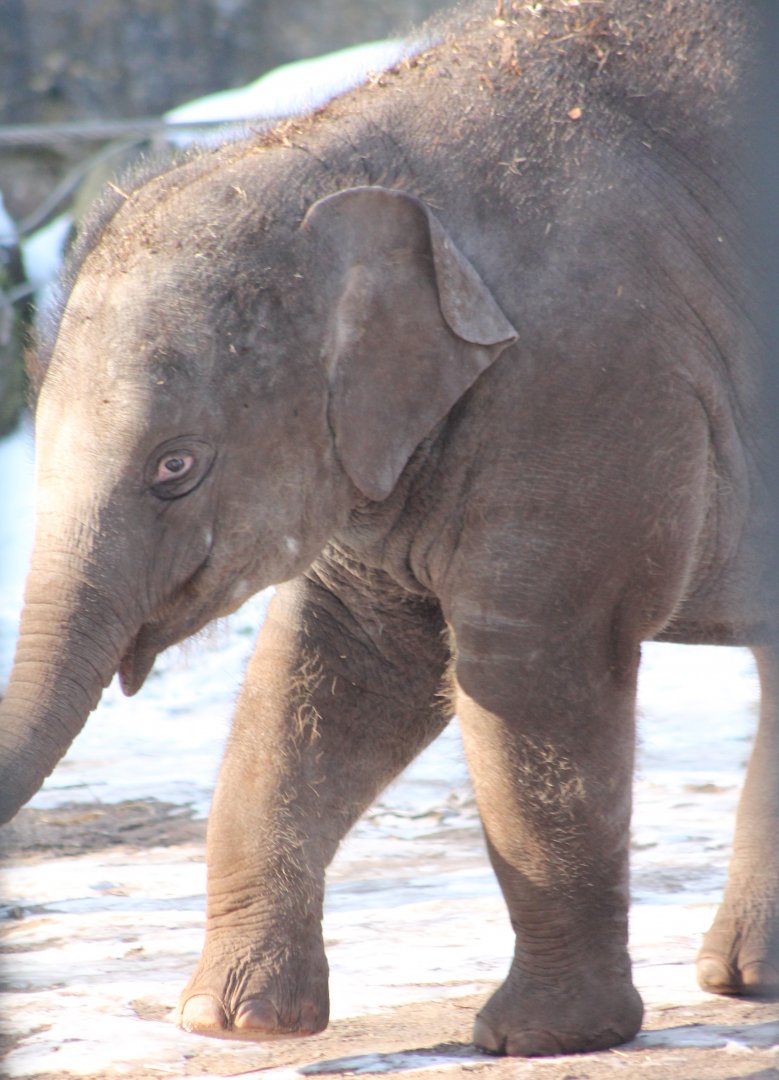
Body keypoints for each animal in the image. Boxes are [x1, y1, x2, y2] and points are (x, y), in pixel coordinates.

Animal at [0, 0, 773, 1059]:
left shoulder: (595, 389)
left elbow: (528, 682)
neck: (343, 158)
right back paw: (743, 979)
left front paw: (535, 1039)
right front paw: (233, 1021)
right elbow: (329, 673)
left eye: (175, 468)